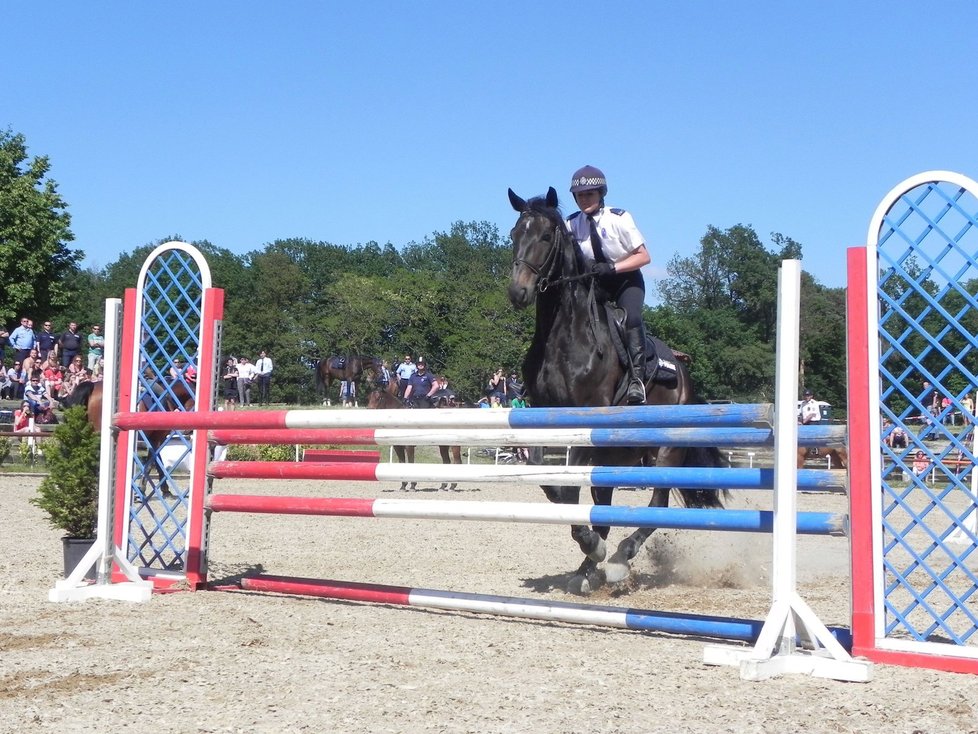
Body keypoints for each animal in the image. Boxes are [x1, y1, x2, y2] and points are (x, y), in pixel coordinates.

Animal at [504, 187, 724, 596]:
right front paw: (589, 547)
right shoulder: (543, 420)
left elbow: (568, 491)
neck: (563, 336)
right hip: (616, 453)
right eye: (514, 234)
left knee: (657, 503)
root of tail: (684, 372)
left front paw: (592, 544)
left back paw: (620, 557)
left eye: (546, 236)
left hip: (663, 451)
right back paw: (589, 568)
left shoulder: (585, 423)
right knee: (605, 507)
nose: (518, 291)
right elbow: (549, 484)